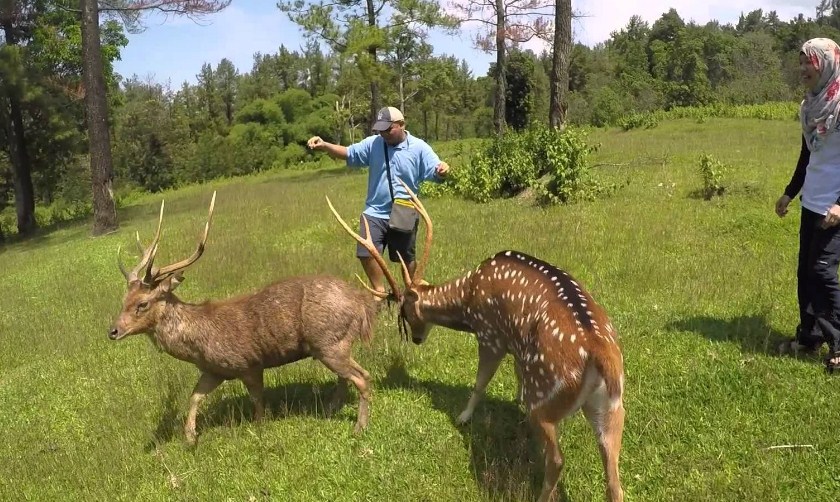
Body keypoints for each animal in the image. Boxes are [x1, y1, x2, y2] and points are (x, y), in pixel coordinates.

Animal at [110, 192, 388, 444]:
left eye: (142, 303)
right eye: (123, 300)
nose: (112, 331)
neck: (198, 344)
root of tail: (361, 304)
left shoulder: (248, 363)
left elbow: (257, 400)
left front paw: (258, 428)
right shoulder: (214, 370)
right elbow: (195, 397)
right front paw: (190, 437)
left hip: (329, 341)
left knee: (362, 377)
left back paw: (360, 427)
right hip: (331, 345)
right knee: (347, 378)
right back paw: (332, 409)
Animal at [326, 181, 624, 502]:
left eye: (405, 312)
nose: (416, 340)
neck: (469, 299)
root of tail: (599, 352)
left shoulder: (490, 335)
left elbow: (480, 382)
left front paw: (463, 417)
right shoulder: (516, 346)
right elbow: (517, 374)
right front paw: (516, 403)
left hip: (547, 394)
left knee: (556, 460)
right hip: (611, 405)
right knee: (613, 476)